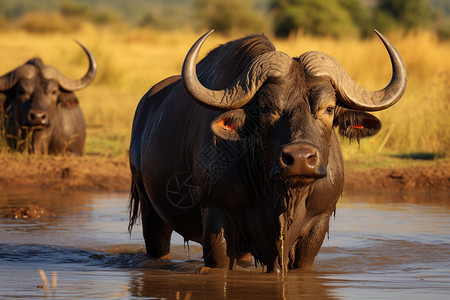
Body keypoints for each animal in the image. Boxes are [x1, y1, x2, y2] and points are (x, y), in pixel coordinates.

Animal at [128, 29, 406, 272]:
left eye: (328, 108)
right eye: (265, 107)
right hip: (151, 213)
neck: (281, 197)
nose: (300, 159)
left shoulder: (317, 225)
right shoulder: (217, 219)